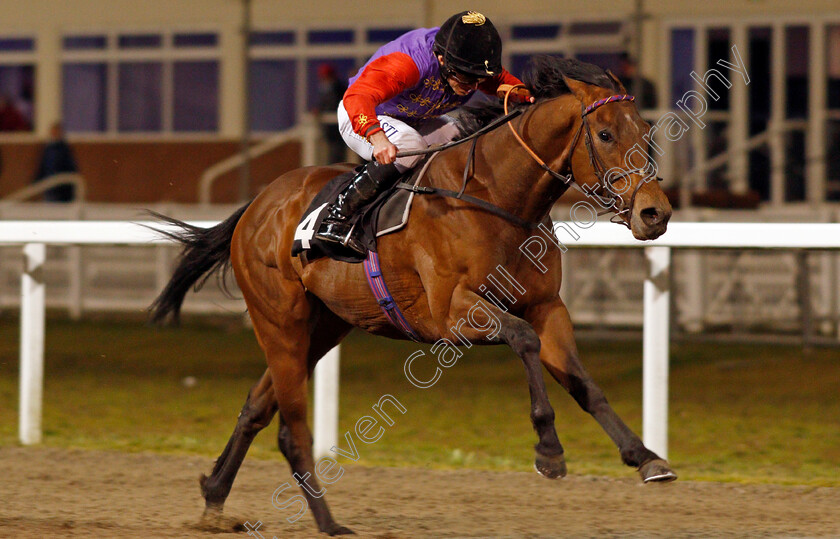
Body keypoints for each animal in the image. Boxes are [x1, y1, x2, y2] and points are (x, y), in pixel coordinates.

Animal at [153, 57, 676, 536]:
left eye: (646, 131)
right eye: (605, 135)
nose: (655, 213)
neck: (496, 198)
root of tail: (257, 205)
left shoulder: (548, 307)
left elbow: (585, 384)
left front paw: (645, 457)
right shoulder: (452, 316)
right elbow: (523, 339)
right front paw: (549, 450)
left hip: (323, 327)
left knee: (258, 408)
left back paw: (215, 497)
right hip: (280, 322)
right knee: (292, 427)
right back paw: (328, 522)